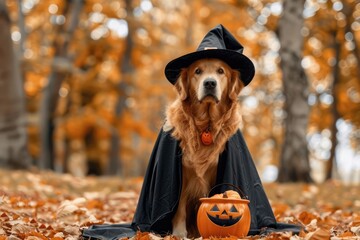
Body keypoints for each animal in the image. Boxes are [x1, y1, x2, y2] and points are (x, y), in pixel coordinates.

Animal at [164, 58, 245, 238]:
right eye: (197, 71)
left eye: (221, 71)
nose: (209, 83)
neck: (206, 125)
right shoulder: (182, 175)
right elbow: (179, 208)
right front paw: (179, 233)